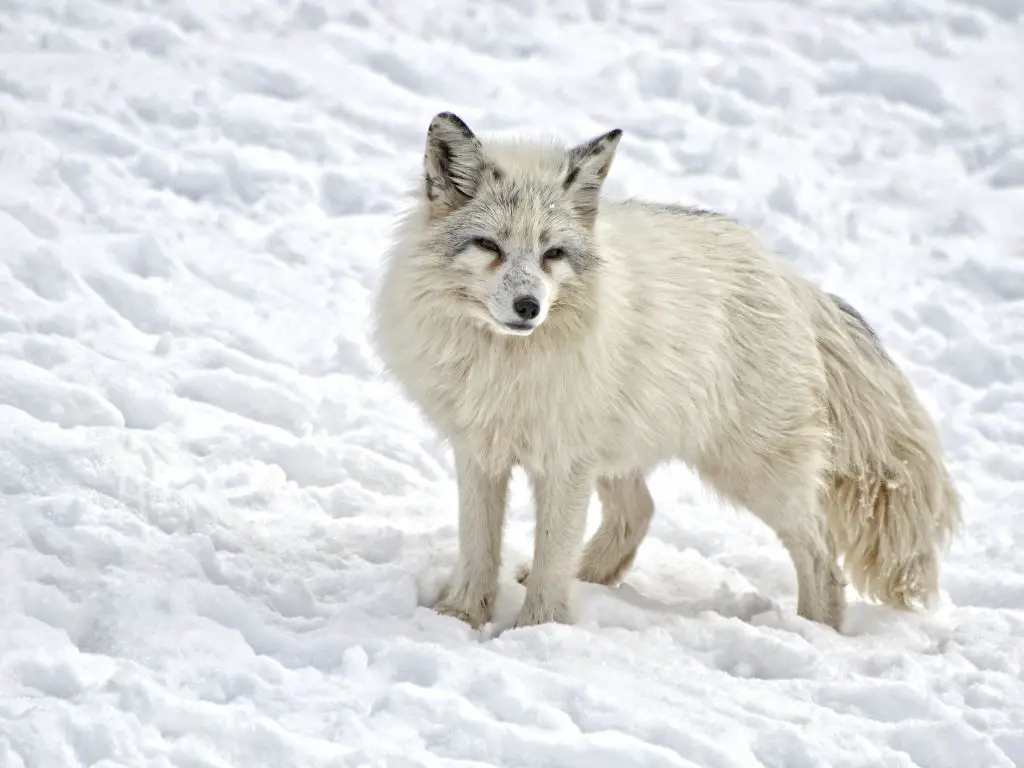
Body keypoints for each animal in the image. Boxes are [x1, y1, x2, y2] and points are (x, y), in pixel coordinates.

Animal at [372, 111, 962, 634]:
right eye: (489, 246)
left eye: (552, 254)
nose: (528, 308)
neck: (507, 365)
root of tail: (788, 277)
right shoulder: (481, 452)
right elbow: (479, 547)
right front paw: (460, 618)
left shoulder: (564, 463)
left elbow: (551, 556)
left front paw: (537, 632)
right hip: (623, 454)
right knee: (639, 513)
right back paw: (589, 579)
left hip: (752, 472)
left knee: (822, 559)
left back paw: (814, 635)